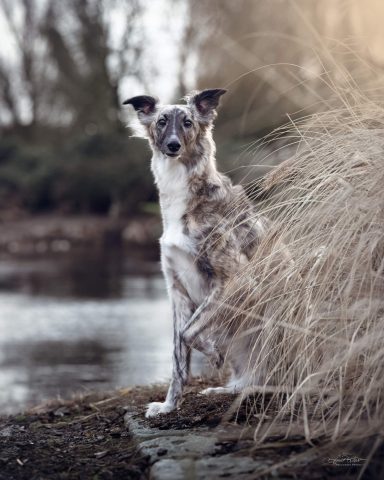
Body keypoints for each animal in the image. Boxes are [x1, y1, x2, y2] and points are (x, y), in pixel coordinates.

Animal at [124, 89, 268, 416]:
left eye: (188, 122)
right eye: (162, 121)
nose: (173, 145)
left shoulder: (233, 281)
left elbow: (189, 334)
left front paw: (213, 353)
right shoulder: (176, 289)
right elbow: (179, 351)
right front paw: (168, 406)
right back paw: (229, 388)